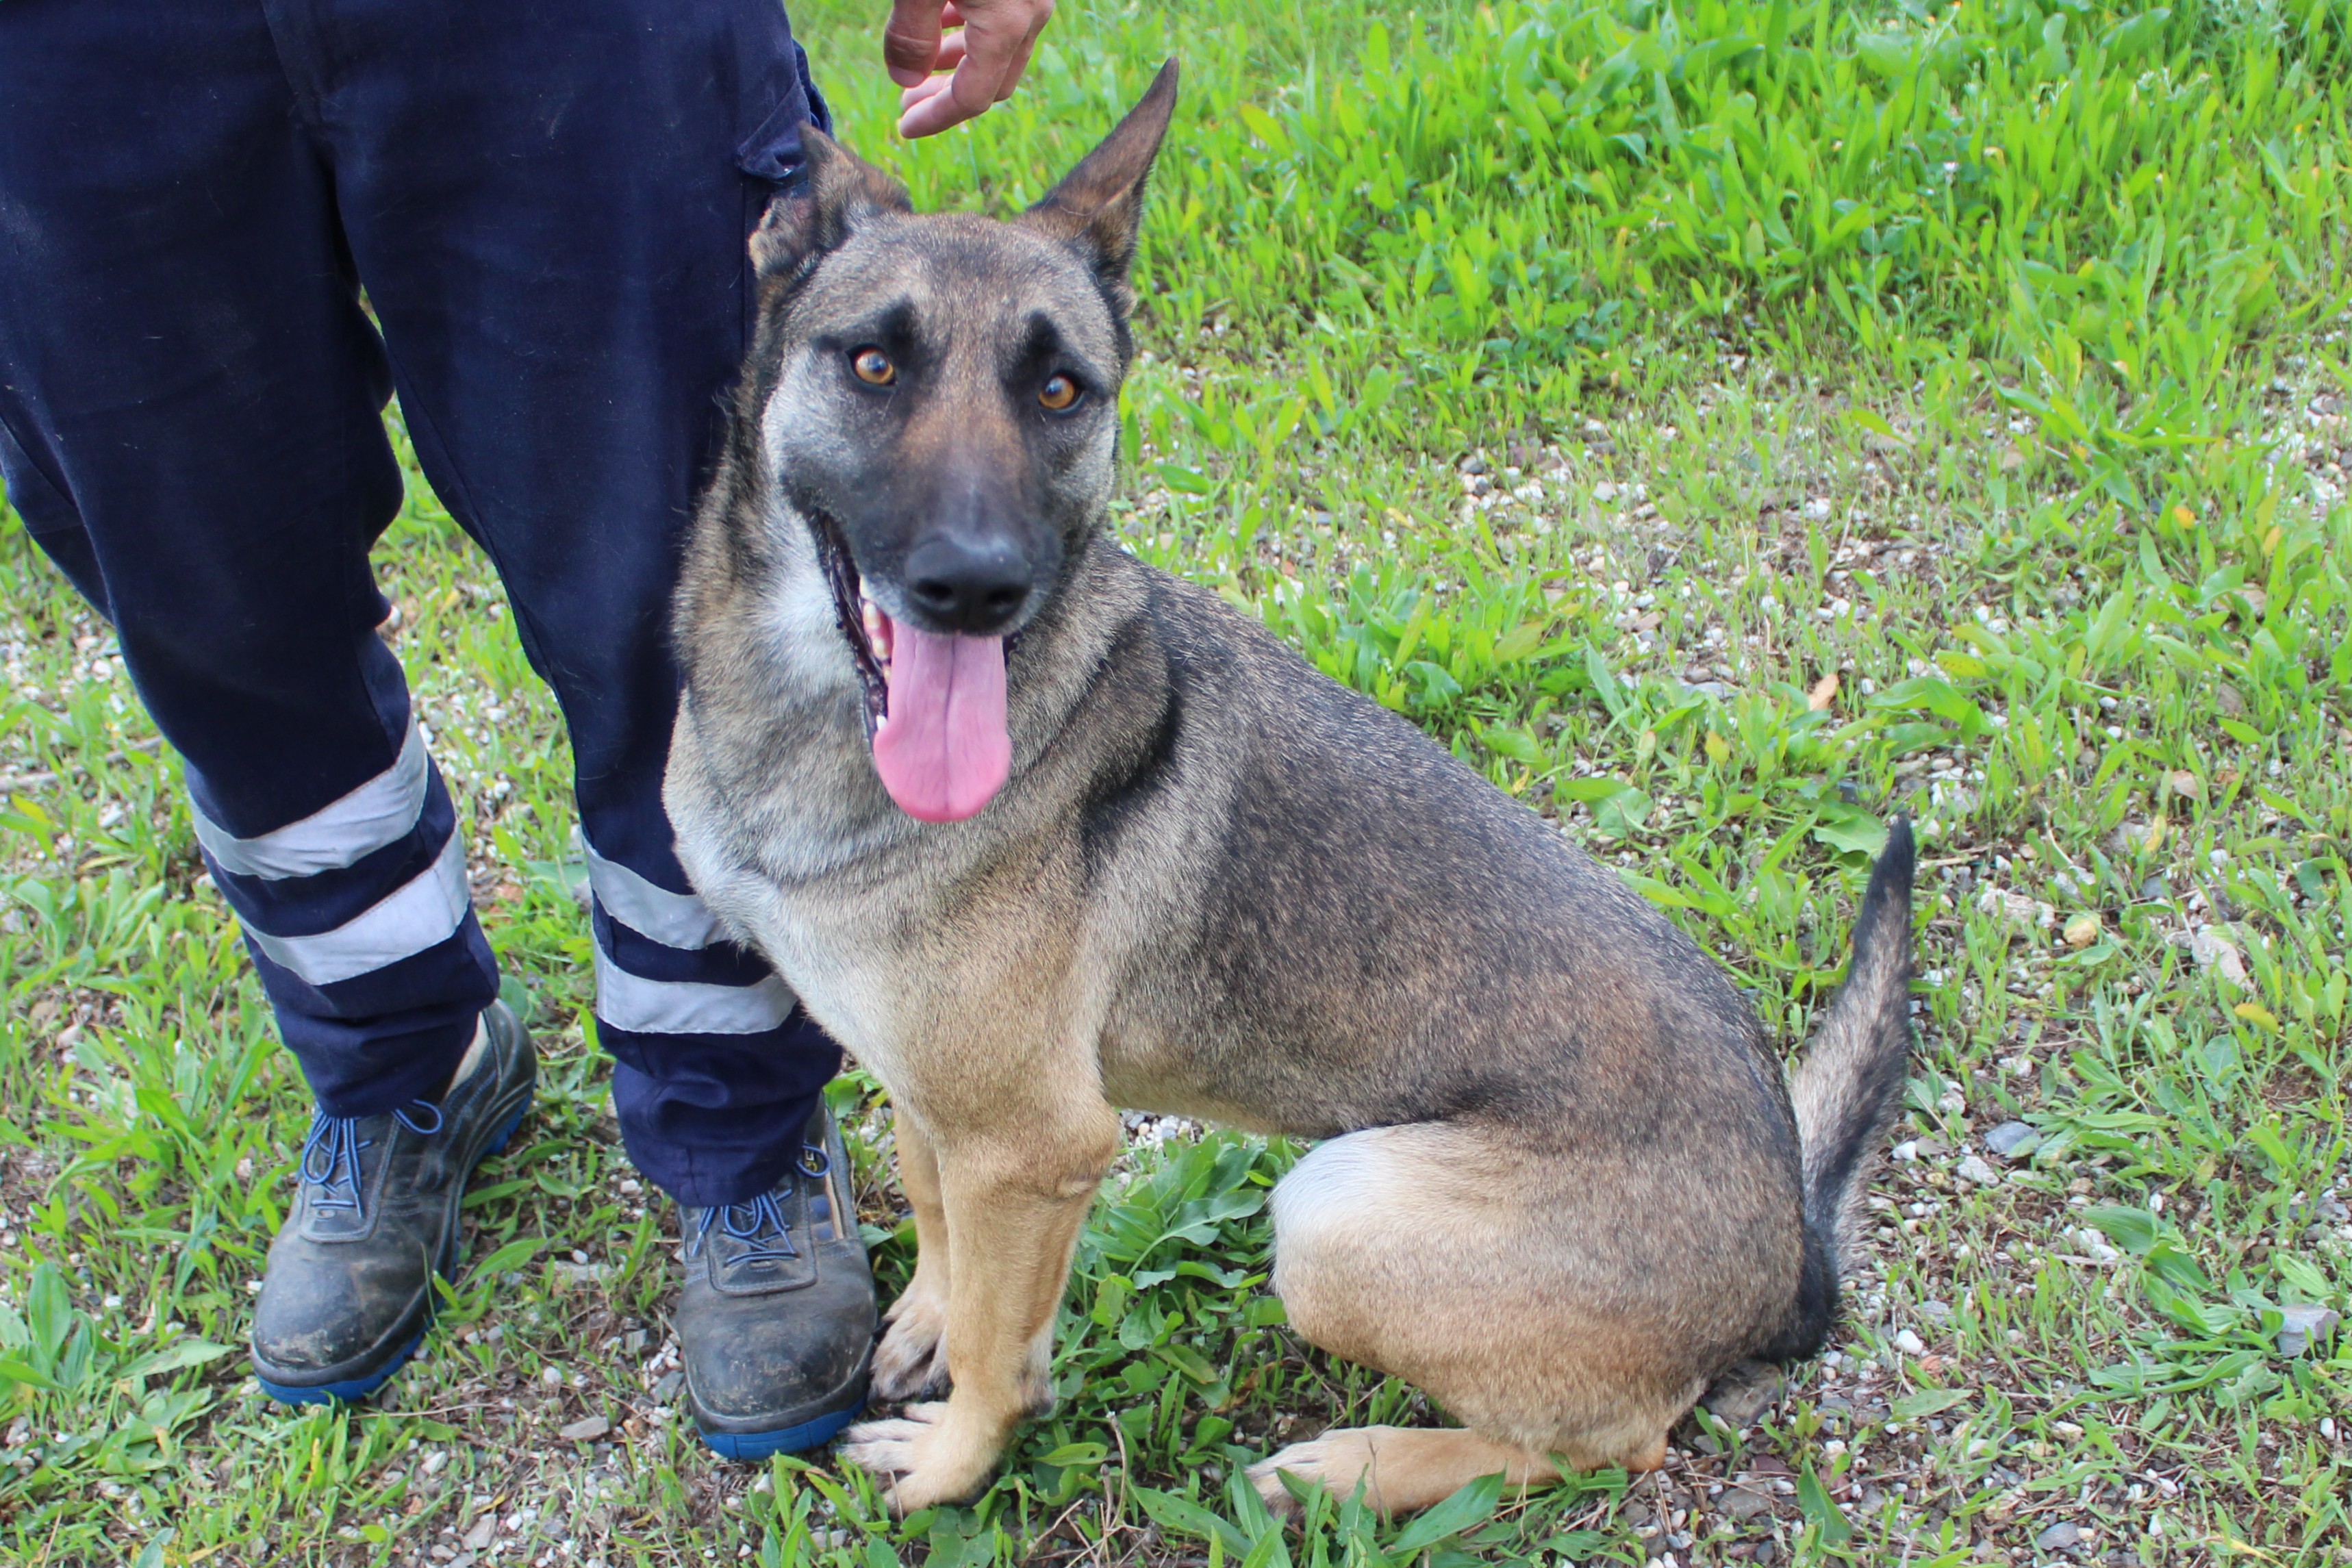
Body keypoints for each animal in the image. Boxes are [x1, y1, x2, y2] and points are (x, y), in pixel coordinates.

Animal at [663, 64, 1910, 1523]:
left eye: (1060, 390)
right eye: (872, 364)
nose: (976, 586)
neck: (802, 720)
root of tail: (1792, 1258)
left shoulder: (1036, 1145)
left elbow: (996, 1350)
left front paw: (950, 1466)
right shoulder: (931, 1093)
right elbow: (932, 1214)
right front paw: (919, 1311)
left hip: (1336, 1213)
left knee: (1609, 1442)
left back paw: (1360, 1467)